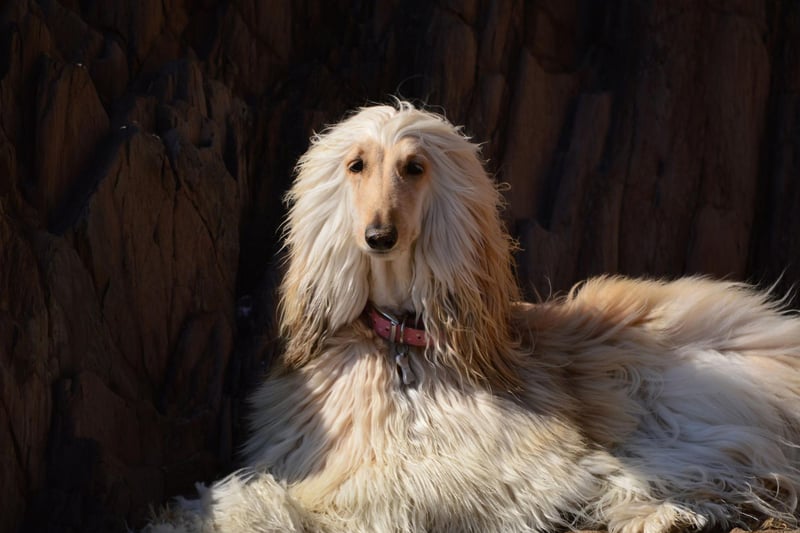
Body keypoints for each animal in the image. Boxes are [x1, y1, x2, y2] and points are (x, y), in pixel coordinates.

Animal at [147, 102, 800, 528]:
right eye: (356, 165)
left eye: (414, 167)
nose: (378, 237)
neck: (403, 346)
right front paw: (199, 510)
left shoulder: (521, 466)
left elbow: (374, 496)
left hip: (677, 391)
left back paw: (665, 512)